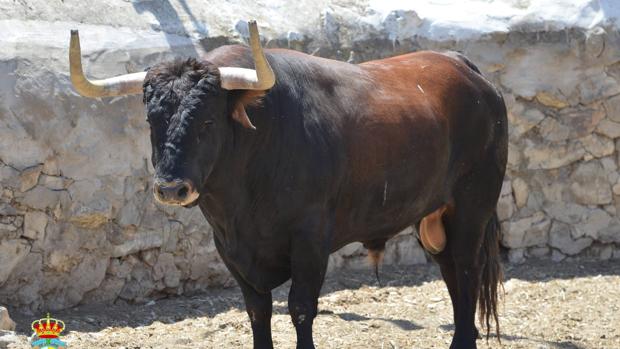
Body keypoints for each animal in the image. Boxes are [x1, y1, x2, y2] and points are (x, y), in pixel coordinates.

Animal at [69, 19, 504, 348]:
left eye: (207, 121)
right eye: (151, 120)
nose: (172, 189)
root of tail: (463, 66)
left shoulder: (310, 240)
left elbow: (300, 307)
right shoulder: (229, 248)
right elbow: (257, 310)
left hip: (473, 207)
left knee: (467, 270)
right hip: (434, 217)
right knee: (452, 274)